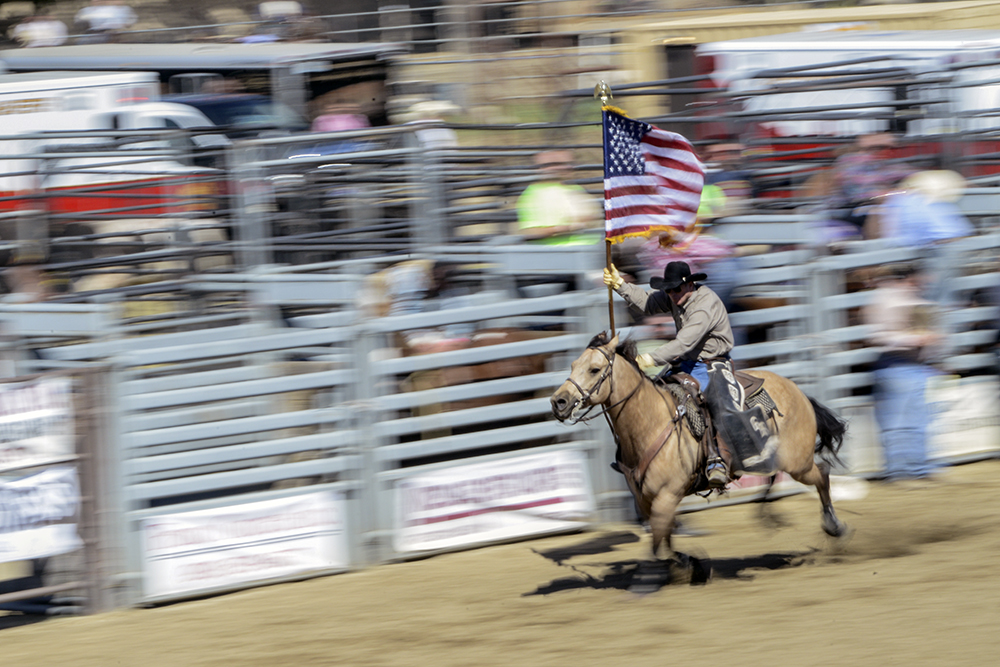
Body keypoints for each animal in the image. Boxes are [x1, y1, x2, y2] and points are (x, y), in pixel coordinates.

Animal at [552, 334, 848, 584]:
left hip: (798, 463)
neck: (650, 423)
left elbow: (658, 544)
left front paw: (672, 570)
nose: (559, 402)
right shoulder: (646, 501)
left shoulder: (667, 496)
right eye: (573, 365)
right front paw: (691, 564)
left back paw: (834, 527)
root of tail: (797, 390)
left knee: (822, 473)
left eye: (594, 369)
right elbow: (664, 539)